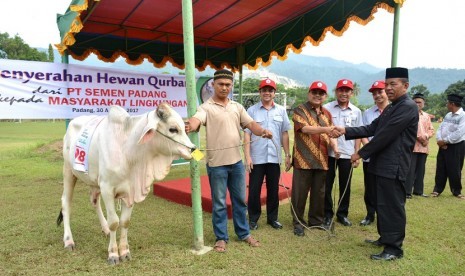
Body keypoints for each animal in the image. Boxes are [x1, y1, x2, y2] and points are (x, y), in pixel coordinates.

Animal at [56, 104, 194, 266]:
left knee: (94, 201)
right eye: (173, 129)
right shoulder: (107, 189)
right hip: (68, 172)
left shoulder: (131, 191)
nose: (192, 148)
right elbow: (114, 222)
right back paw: (68, 240)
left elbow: (125, 222)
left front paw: (125, 252)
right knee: (66, 203)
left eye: (184, 127)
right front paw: (113, 254)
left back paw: (105, 229)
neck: (128, 151)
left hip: (93, 181)